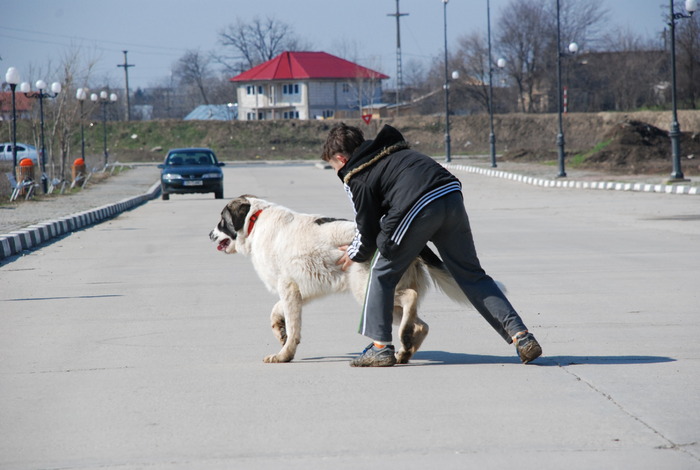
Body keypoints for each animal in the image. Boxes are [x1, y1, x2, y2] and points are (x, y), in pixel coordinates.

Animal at [208, 195, 470, 364]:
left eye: (221, 221)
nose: (210, 234)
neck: (255, 222)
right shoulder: (297, 293)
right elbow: (276, 313)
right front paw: (279, 333)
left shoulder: (289, 288)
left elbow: (292, 327)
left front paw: (284, 354)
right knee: (421, 324)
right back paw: (405, 350)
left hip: (366, 291)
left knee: (410, 298)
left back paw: (403, 341)